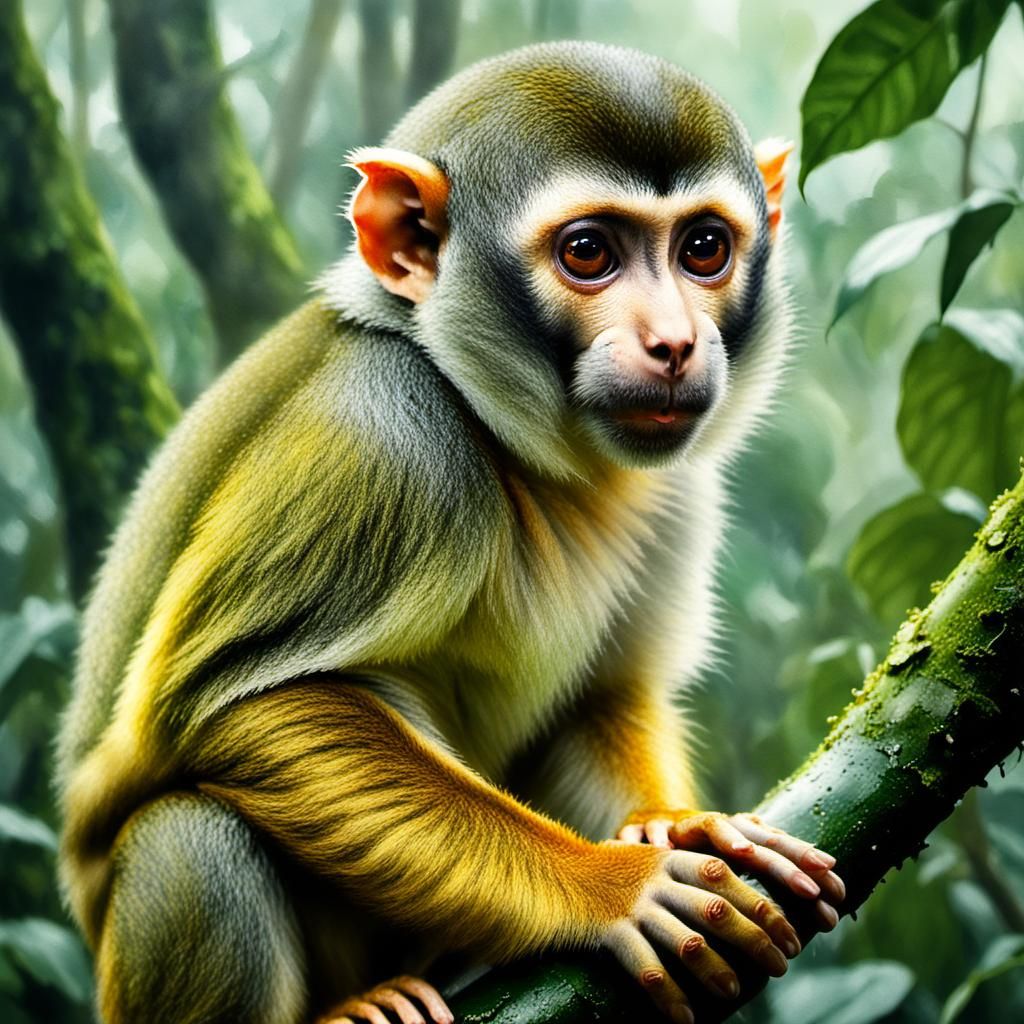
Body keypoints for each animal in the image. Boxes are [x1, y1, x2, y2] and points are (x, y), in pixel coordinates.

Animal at [56, 41, 843, 1024]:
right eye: (588, 251)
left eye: (704, 247)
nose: (673, 343)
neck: (507, 435)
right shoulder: (388, 436)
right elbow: (240, 704)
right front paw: (615, 885)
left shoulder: (678, 490)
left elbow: (600, 698)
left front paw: (672, 825)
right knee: (190, 833)